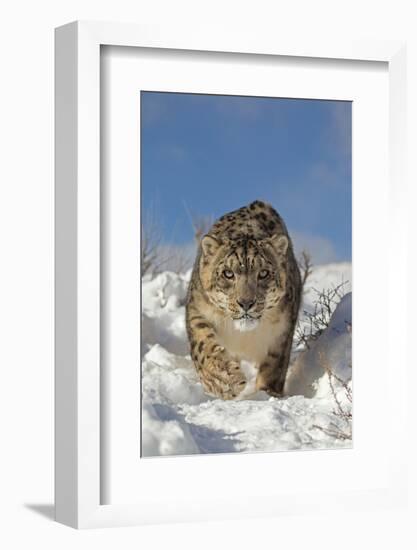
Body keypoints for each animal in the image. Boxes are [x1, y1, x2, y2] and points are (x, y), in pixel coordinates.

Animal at [184, 201, 300, 398]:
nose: (246, 303)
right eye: (228, 273)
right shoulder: (197, 310)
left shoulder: (282, 333)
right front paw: (226, 380)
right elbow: (203, 346)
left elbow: (273, 367)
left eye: (264, 273)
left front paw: (267, 393)